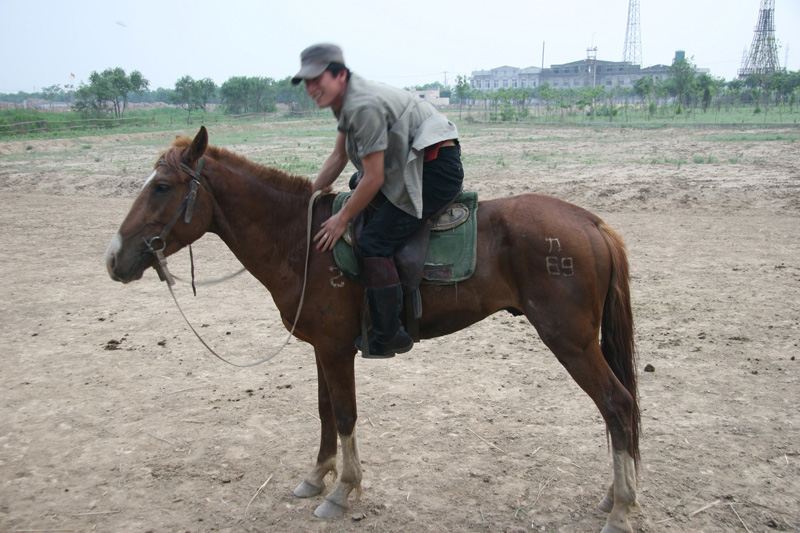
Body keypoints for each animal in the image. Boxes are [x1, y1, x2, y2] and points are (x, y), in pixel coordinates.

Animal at [106, 125, 640, 532]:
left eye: (162, 187)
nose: (114, 258)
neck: (303, 243)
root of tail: (591, 222)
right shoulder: (323, 348)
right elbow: (324, 412)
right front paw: (316, 476)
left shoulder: (336, 351)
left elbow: (345, 416)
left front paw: (343, 491)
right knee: (618, 409)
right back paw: (614, 496)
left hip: (570, 341)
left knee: (618, 405)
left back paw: (623, 509)